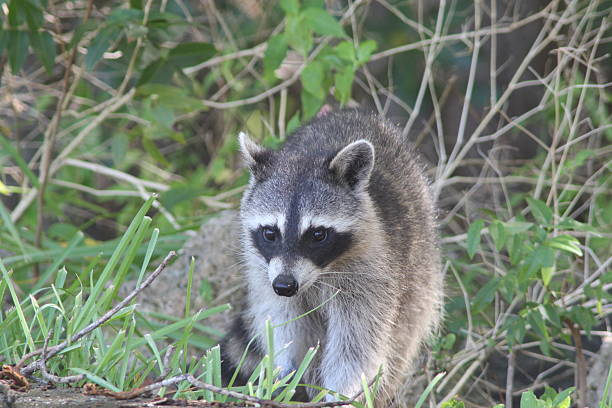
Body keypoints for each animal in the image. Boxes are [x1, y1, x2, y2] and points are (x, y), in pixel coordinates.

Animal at [222, 108, 442, 404]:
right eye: (270, 233)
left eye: (317, 235)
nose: (285, 285)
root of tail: (355, 112)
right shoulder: (263, 270)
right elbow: (283, 324)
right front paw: (285, 376)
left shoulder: (373, 273)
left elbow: (358, 346)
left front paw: (340, 394)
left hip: (419, 276)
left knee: (401, 340)